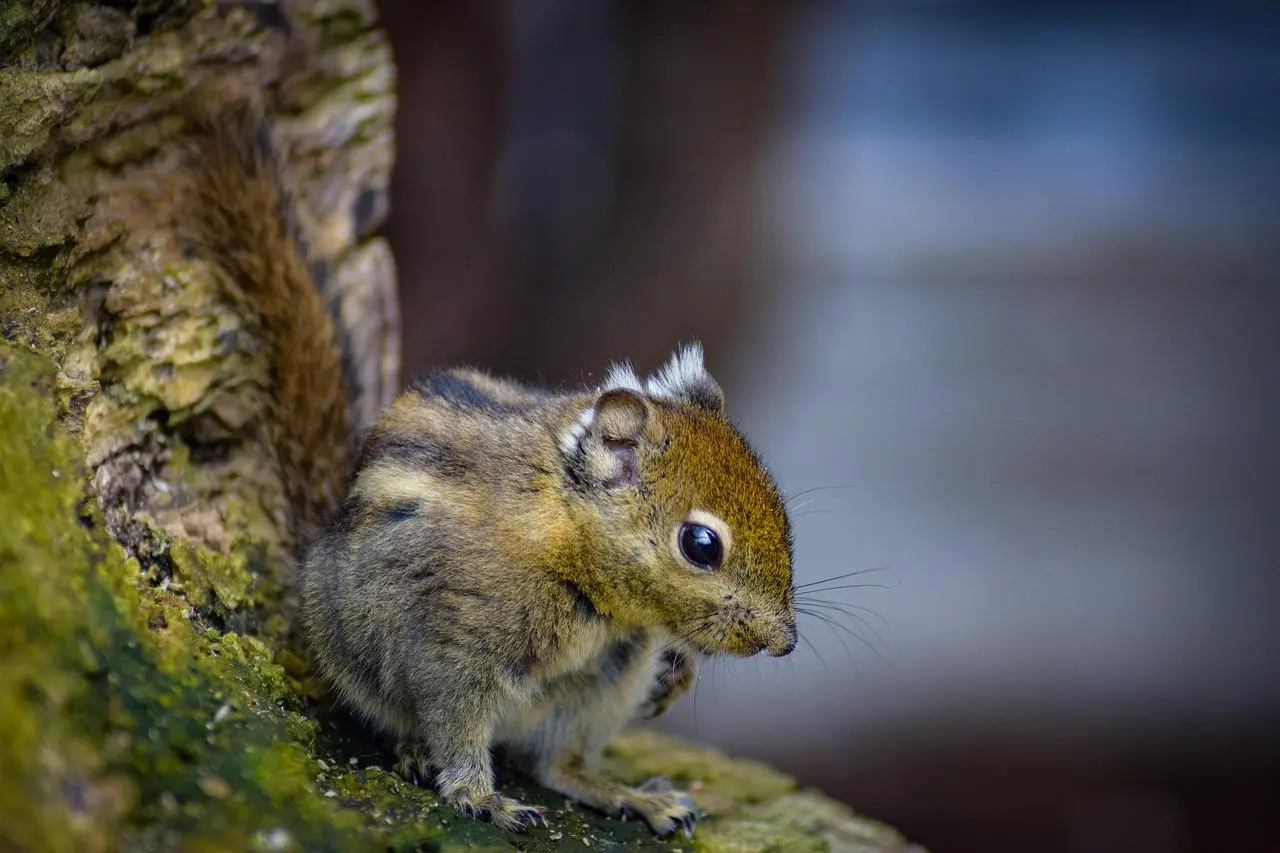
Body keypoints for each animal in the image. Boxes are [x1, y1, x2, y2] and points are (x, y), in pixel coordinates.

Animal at [186, 104, 798, 838]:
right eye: (701, 545)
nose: (785, 642)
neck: (566, 537)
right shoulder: (454, 641)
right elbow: (457, 720)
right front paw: (479, 794)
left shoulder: (622, 640)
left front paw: (678, 677)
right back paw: (420, 752)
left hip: (602, 685)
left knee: (559, 764)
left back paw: (630, 794)